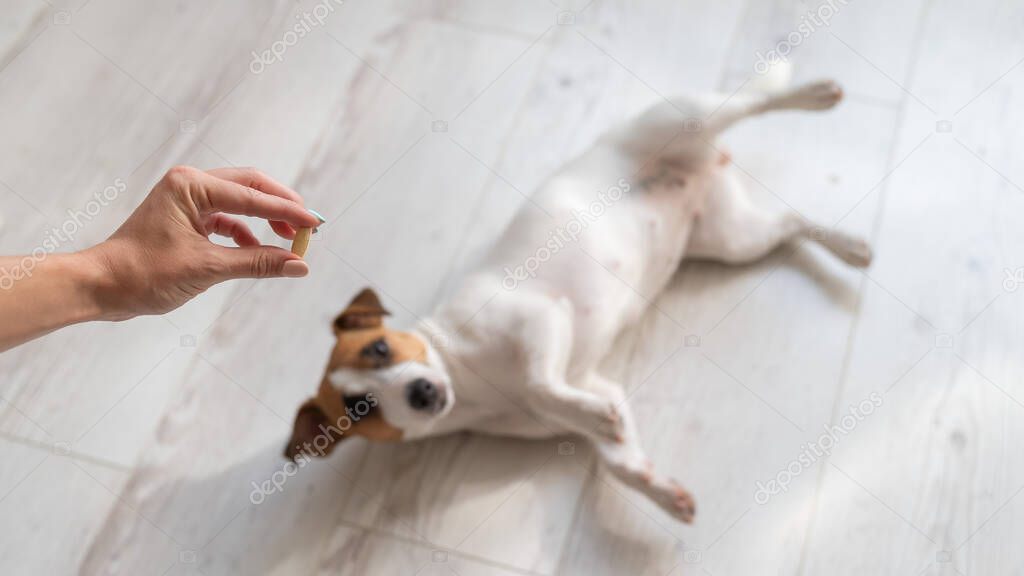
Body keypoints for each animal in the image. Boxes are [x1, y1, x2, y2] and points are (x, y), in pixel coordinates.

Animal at [284, 75, 868, 520]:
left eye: (380, 348)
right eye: (358, 409)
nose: (423, 392)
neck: (468, 380)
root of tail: (706, 164)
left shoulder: (540, 320)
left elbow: (541, 384)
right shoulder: (599, 386)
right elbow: (617, 458)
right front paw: (660, 491)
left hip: (686, 119)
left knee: (750, 99)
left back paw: (815, 93)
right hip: (733, 241)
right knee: (792, 225)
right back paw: (852, 246)